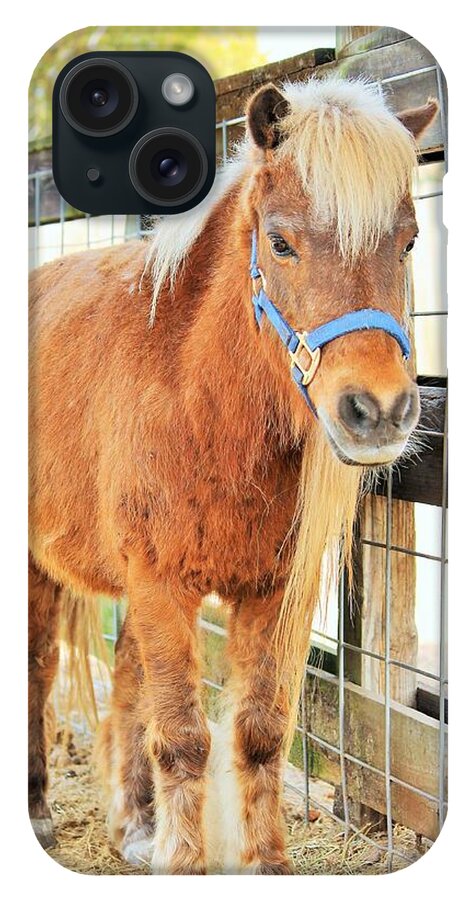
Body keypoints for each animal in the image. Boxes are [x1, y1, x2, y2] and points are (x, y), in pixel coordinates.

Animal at [28, 75, 438, 874]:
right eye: (279, 242)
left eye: (407, 241)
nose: (378, 411)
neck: (199, 402)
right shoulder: (160, 583)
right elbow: (185, 739)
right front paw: (186, 863)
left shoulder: (272, 592)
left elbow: (258, 732)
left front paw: (264, 862)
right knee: (38, 672)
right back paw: (37, 809)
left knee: (128, 681)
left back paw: (135, 825)